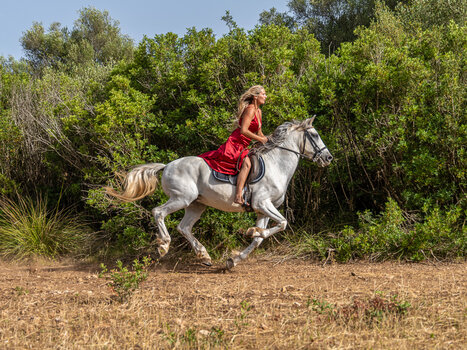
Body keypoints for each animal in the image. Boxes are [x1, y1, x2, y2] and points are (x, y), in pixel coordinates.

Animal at [106, 117, 332, 268]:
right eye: (314, 135)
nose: (328, 158)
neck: (276, 164)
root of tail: (167, 165)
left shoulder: (262, 210)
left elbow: (260, 238)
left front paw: (235, 257)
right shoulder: (262, 204)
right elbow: (283, 223)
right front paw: (250, 233)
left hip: (196, 205)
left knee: (184, 227)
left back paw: (204, 256)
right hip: (181, 198)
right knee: (158, 212)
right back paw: (164, 246)